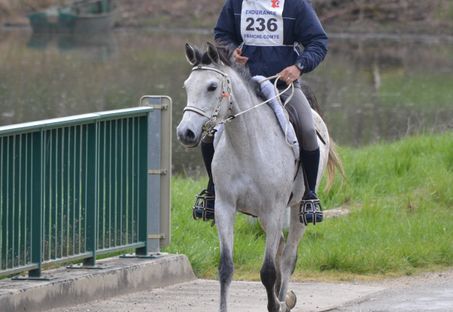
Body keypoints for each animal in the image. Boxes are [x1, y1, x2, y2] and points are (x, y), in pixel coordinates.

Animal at [177, 43, 342, 312]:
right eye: (187, 86)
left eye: (212, 86)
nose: (185, 133)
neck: (247, 145)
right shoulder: (225, 208)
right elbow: (226, 268)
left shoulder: (273, 210)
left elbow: (268, 272)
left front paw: (276, 305)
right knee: (281, 247)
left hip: (295, 209)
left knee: (288, 257)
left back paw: (284, 299)